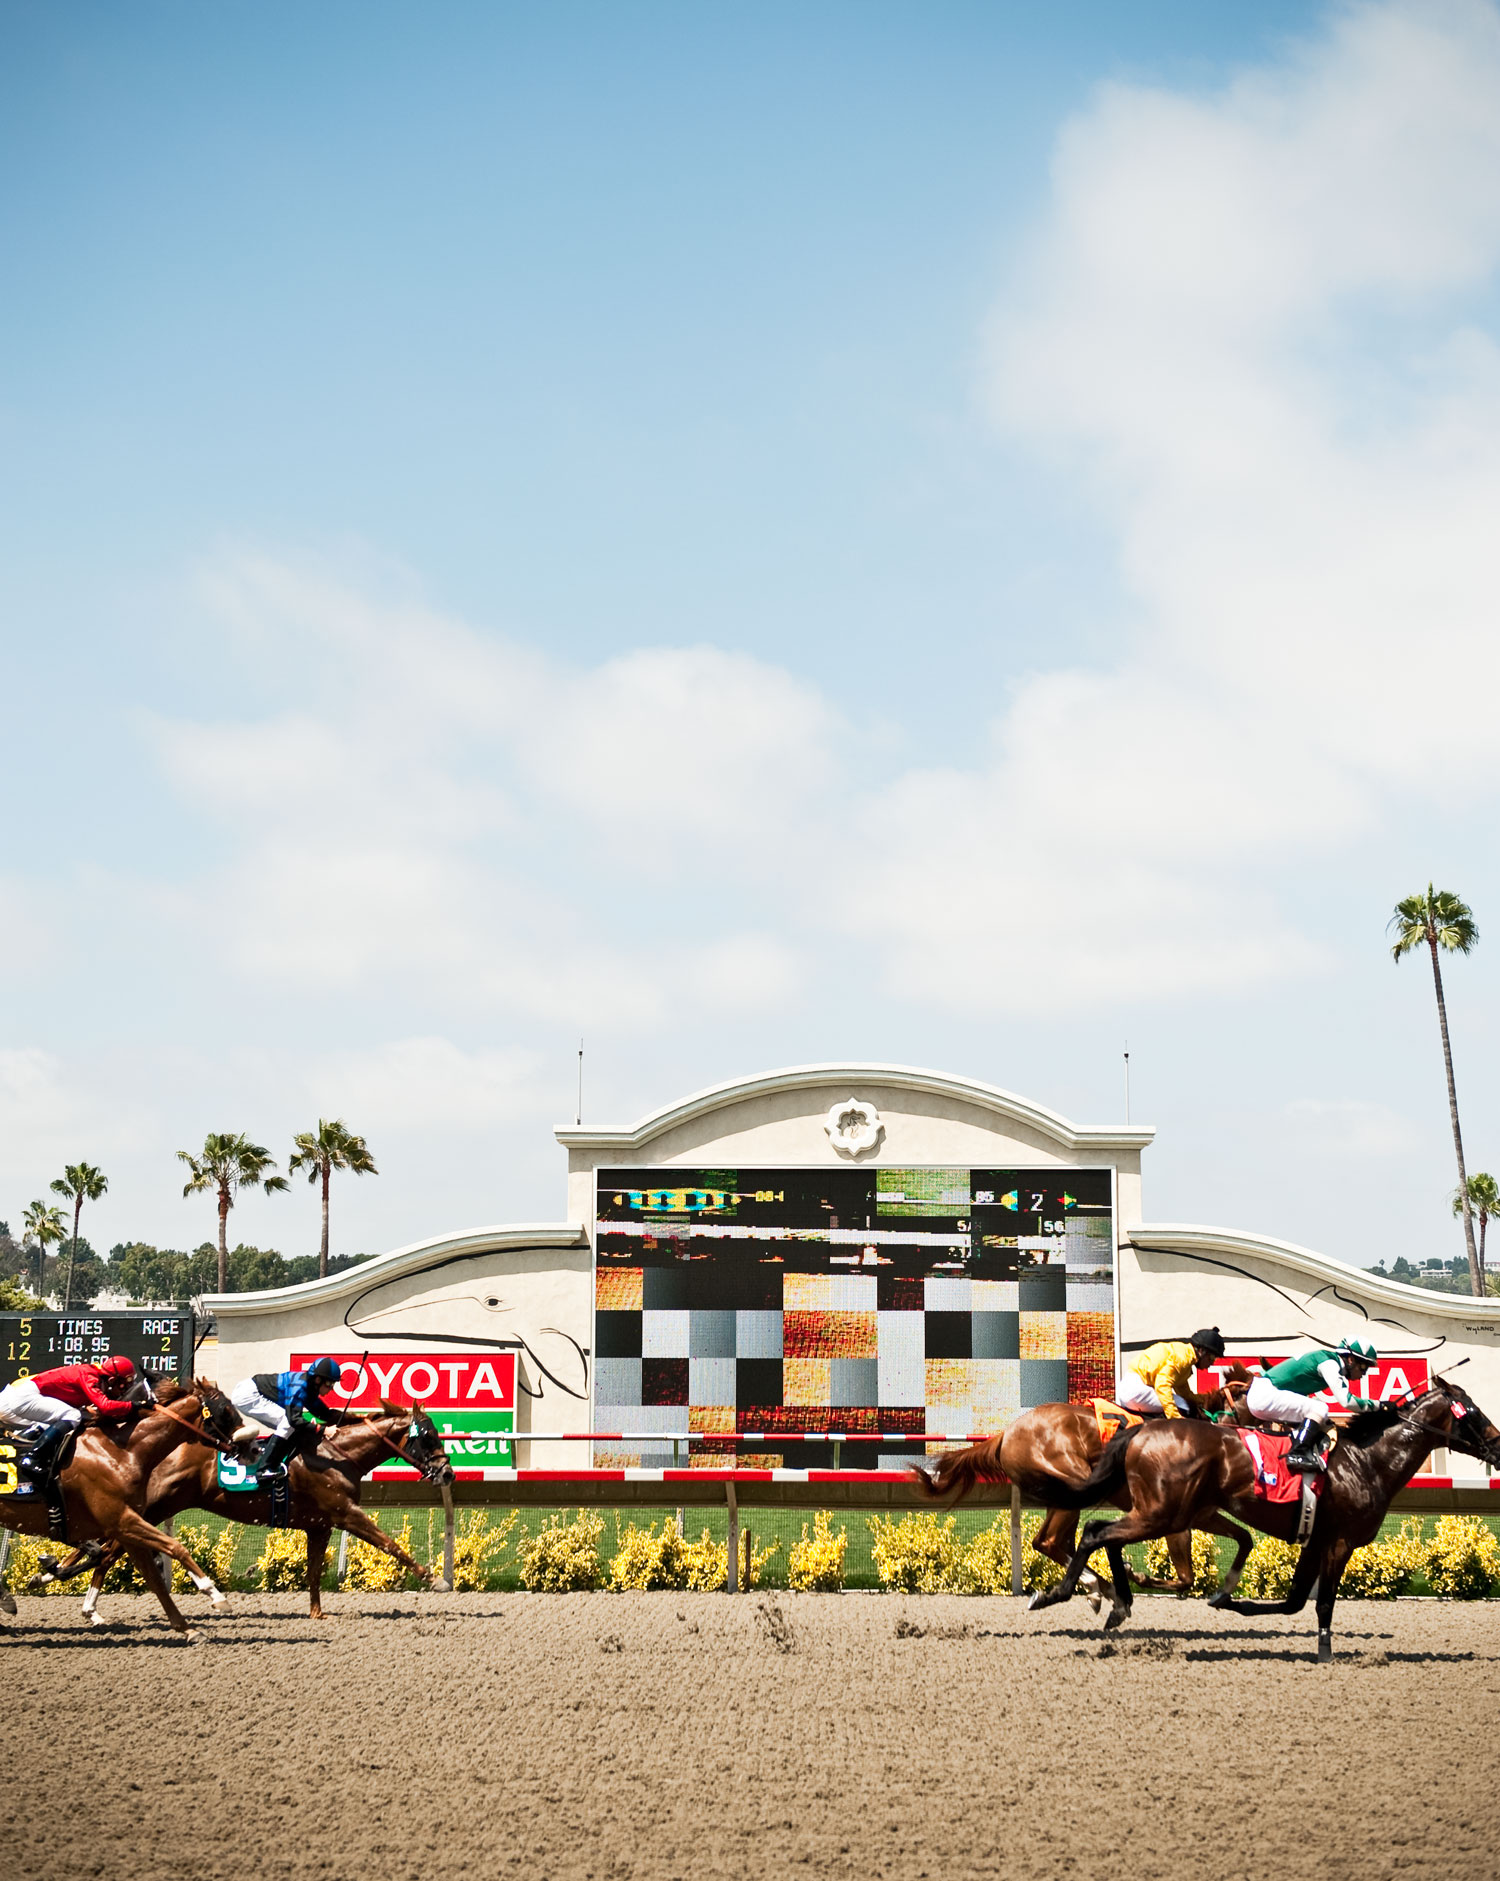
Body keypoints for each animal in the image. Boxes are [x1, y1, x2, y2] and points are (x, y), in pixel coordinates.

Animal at [1, 1384, 229, 1632]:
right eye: (225, 1411)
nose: (245, 1447)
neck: (121, 1450)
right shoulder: (120, 1520)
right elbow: (167, 1549)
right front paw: (214, 1596)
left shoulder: (120, 1523)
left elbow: (143, 1570)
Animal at [65, 1399, 449, 1617]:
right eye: (429, 1436)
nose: (447, 1472)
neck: (337, 1456)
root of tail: (136, 1451)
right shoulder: (345, 1513)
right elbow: (390, 1544)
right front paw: (435, 1580)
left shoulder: (320, 1525)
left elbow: (313, 1572)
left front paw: (316, 1614)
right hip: (151, 1509)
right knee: (111, 1551)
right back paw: (88, 1605)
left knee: (111, 1551)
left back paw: (86, 1603)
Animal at [914, 1369, 1249, 1602]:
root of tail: (1006, 1434)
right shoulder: (1171, 1516)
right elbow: (1185, 1574)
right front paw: (1133, 1573)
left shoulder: (1202, 1513)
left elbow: (1198, 1568)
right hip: (1074, 1481)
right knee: (1051, 1542)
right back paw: (1099, 1587)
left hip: (1061, 1493)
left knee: (1047, 1542)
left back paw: (1098, 1586)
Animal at [1038, 1369, 1498, 1662]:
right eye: (1474, 1412)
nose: (1498, 1445)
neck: (1368, 1462)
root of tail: (1140, 1430)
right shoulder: (1340, 1542)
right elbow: (1323, 1603)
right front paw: (1326, 1654)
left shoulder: (1317, 1539)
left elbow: (1293, 1603)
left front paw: (1230, 1601)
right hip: (1163, 1513)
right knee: (1096, 1533)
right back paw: (1059, 1592)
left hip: (1163, 1511)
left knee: (1102, 1533)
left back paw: (1115, 1601)